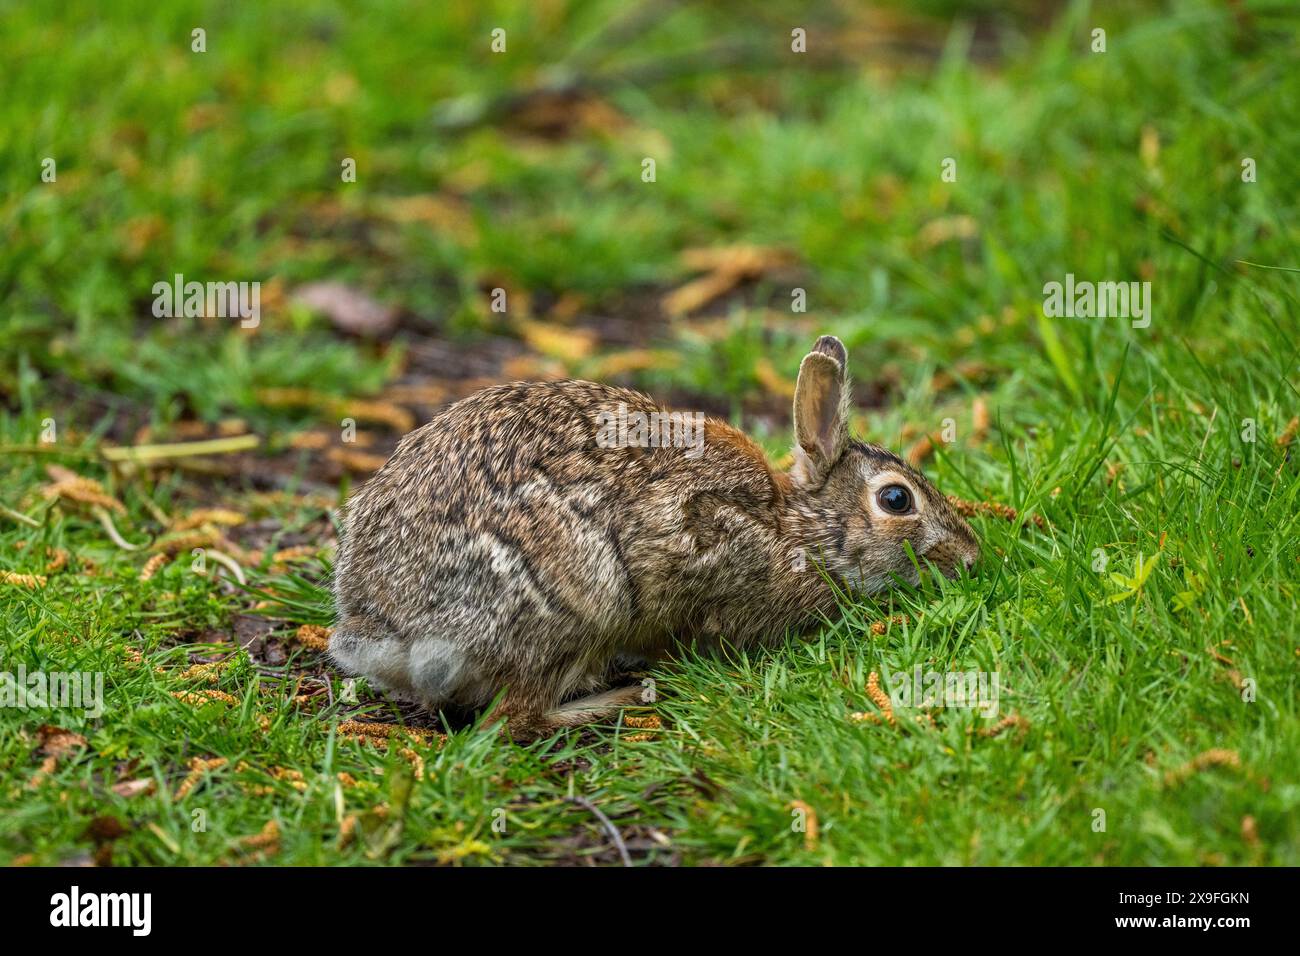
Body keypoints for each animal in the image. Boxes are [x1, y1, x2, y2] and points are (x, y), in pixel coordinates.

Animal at [330, 335, 980, 739]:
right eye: (896, 500)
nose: (972, 557)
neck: (800, 529)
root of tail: (378, 631)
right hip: (577, 604)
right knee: (515, 719)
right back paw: (625, 697)